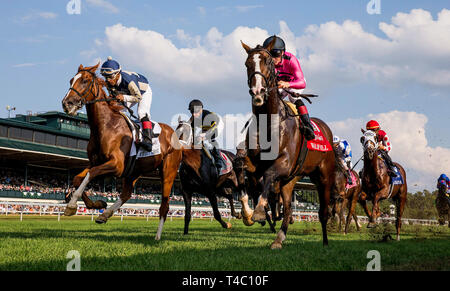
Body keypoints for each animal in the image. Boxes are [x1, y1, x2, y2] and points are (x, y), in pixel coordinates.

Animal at [60, 62, 182, 241]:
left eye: (85, 80)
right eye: (71, 80)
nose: (67, 103)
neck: (106, 126)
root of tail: (177, 137)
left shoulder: (116, 166)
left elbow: (91, 174)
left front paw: (71, 204)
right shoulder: (96, 162)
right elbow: (78, 178)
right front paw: (97, 204)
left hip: (168, 172)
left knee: (164, 205)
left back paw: (157, 237)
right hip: (134, 172)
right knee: (126, 194)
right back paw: (105, 215)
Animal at [239, 41, 338, 250]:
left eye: (268, 61)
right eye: (247, 64)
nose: (258, 92)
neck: (269, 121)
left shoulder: (284, 162)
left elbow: (268, 175)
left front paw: (259, 211)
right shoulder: (255, 162)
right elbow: (248, 176)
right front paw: (249, 214)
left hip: (324, 177)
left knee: (323, 212)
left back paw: (325, 241)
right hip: (291, 179)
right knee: (289, 209)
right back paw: (279, 238)